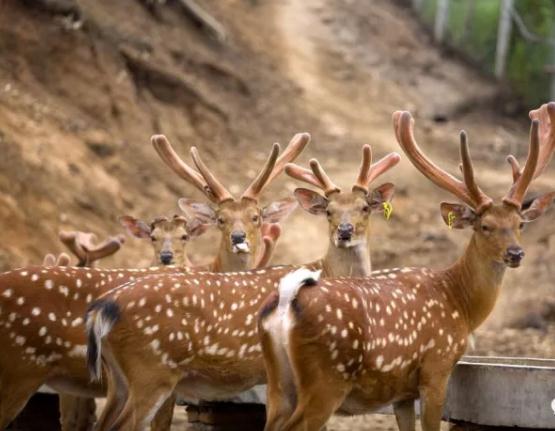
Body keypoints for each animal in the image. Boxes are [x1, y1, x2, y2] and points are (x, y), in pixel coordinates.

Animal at [81, 146, 400, 431]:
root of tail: (102, 310)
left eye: (364, 208)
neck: (324, 269)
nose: (345, 232)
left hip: (118, 378)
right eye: (329, 212)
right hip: (150, 370)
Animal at [258, 104, 555, 431]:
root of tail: (286, 298)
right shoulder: (436, 369)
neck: (459, 303)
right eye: (485, 226)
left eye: (520, 224)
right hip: (326, 380)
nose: (516, 253)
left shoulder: (401, 392)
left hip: (278, 384)